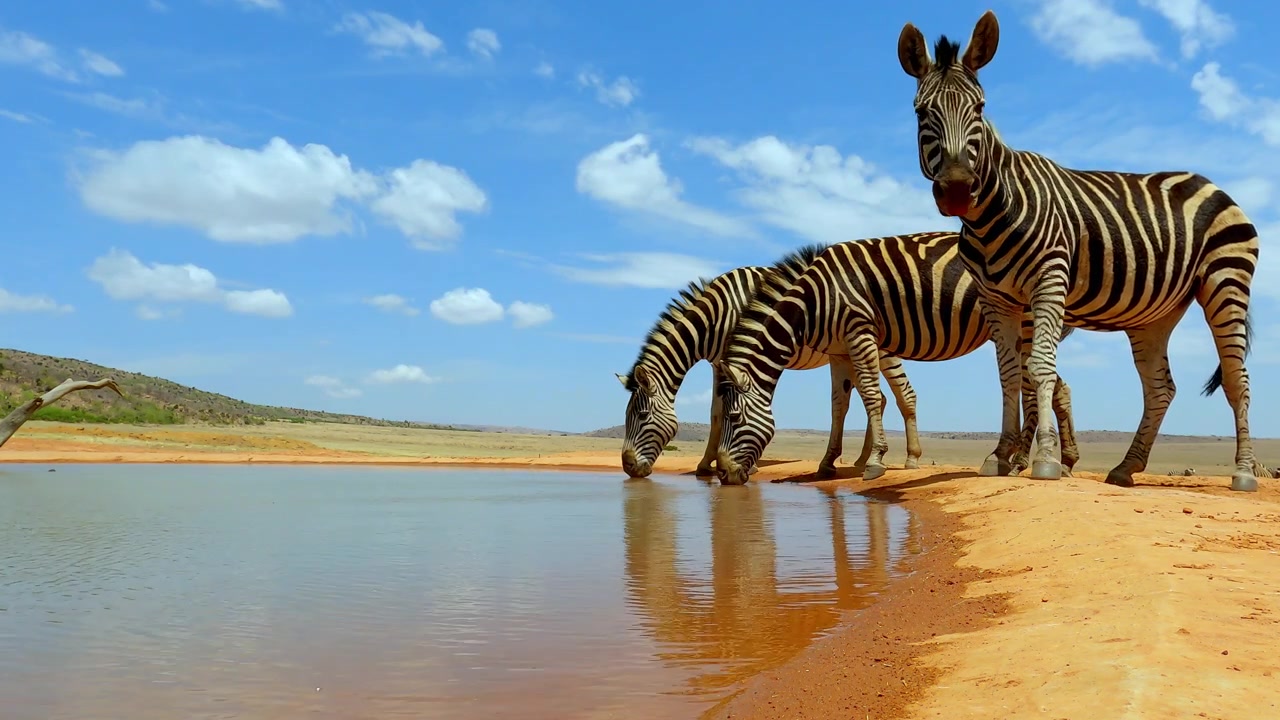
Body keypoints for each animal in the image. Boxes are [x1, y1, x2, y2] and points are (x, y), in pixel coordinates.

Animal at [618, 262, 928, 481]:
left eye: (641, 415)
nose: (628, 467)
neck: (715, 317)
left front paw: (743, 465)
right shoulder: (719, 364)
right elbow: (716, 412)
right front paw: (707, 464)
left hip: (881, 346)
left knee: (905, 394)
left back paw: (911, 459)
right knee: (880, 397)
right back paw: (863, 460)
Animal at [711, 234, 1080, 486]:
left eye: (734, 416)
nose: (725, 474)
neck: (814, 303)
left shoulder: (859, 330)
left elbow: (871, 397)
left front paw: (875, 461)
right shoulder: (839, 351)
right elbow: (838, 406)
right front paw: (827, 463)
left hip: (1028, 322)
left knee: (1036, 387)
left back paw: (1024, 462)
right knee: (1060, 388)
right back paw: (1063, 462)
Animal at [896, 10, 1265, 492]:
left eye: (979, 109)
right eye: (922, 112)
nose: (958, 189)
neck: (993, 213)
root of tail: (1212, 183)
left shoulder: (1049, 280)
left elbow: (1039, 367)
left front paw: (1045, 460)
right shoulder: (997, 299)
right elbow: (1009, 374)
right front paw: (1000, 455)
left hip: (1226, 281)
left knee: (1237, 379)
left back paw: (1243, 473)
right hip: (1156, 313)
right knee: (1160, 388)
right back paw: (1126, 468)